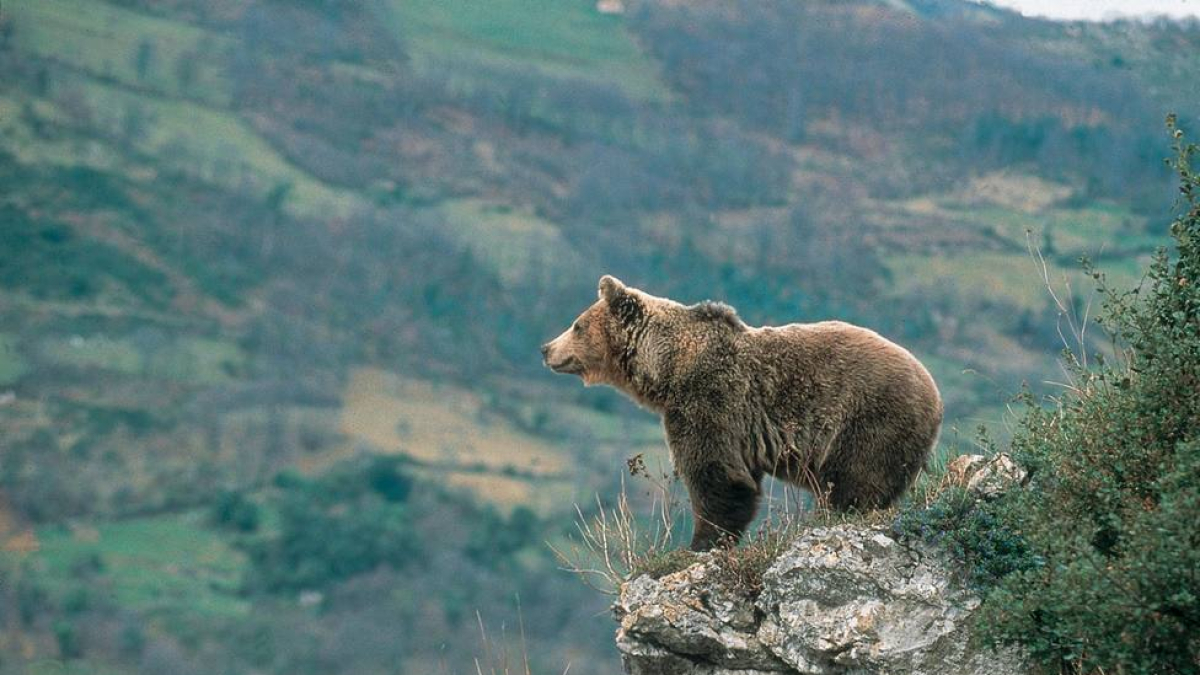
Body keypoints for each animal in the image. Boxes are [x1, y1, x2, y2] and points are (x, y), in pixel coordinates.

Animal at [541, 275, 943, 551]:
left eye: (576, 324)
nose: (546, 348)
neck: (667, 368)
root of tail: (935, 395)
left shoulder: (710, 400)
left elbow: (716, 475)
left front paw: (700, 544)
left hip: (870, 419)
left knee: (857, 481)